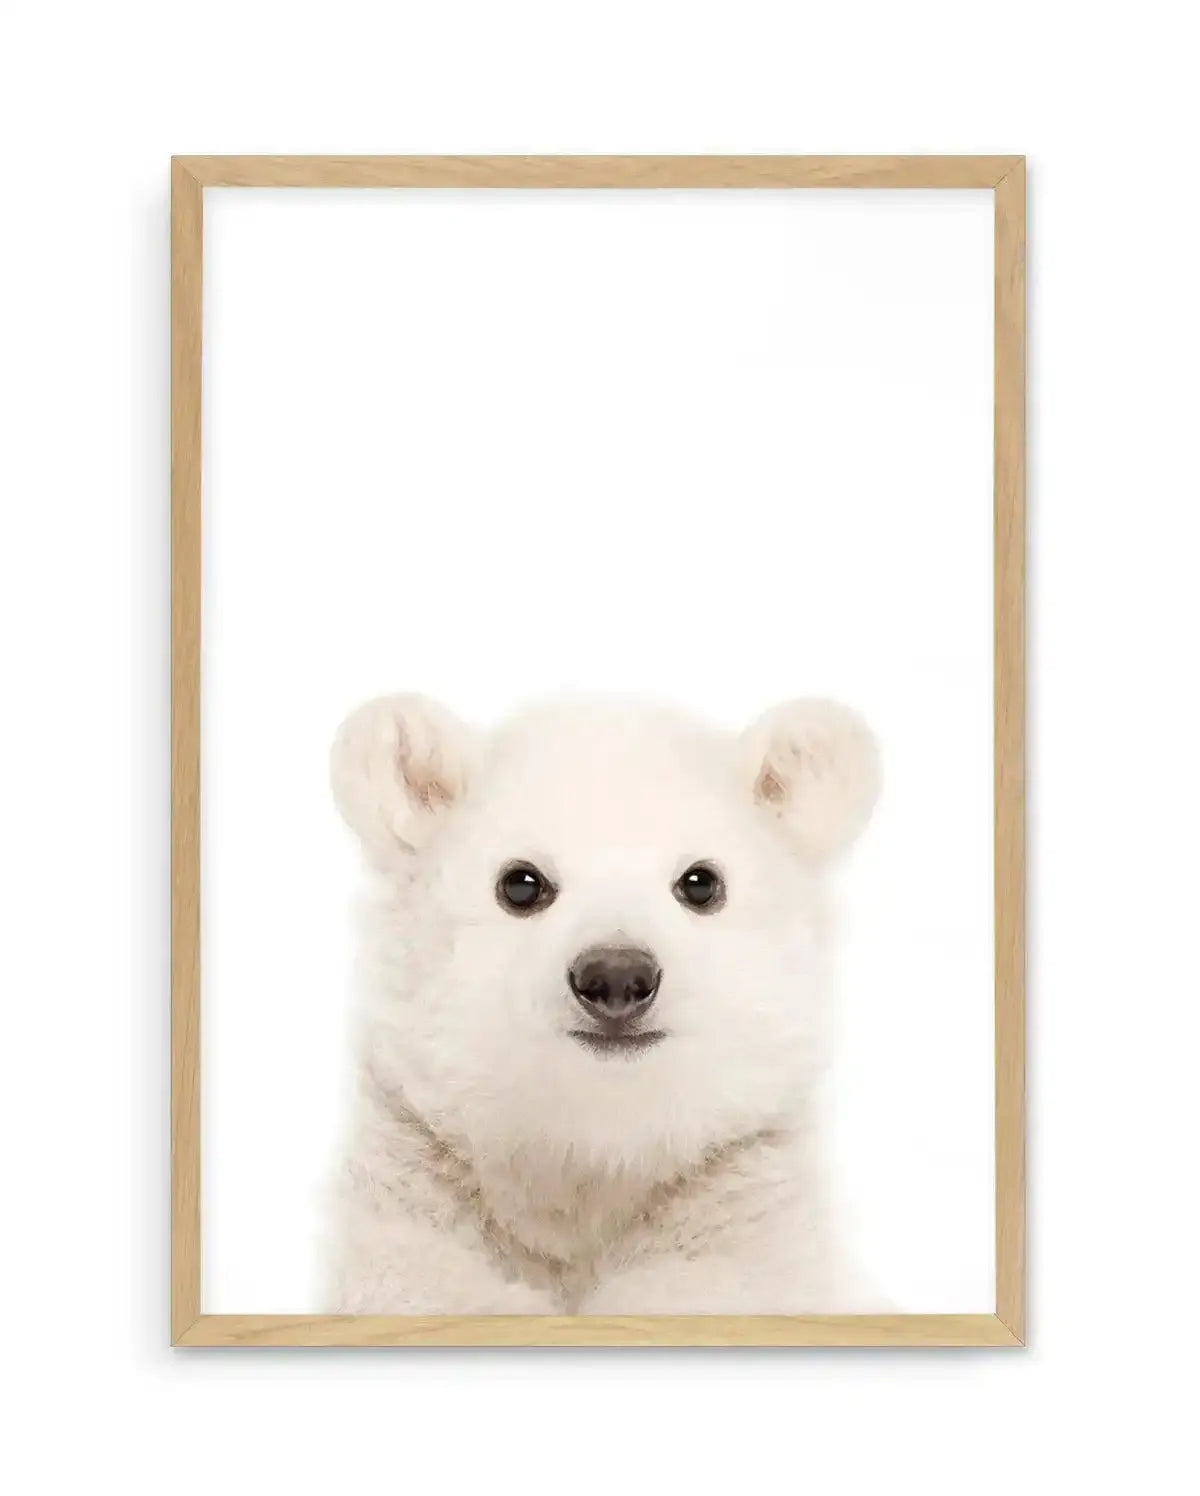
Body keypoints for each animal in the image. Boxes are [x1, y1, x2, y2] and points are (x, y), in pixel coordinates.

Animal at [322, 692, 883, 1315]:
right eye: (520, 883)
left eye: (701, 882)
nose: (616, 977)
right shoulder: (421, 1176)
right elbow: (420, 1277)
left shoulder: (738, 1194)